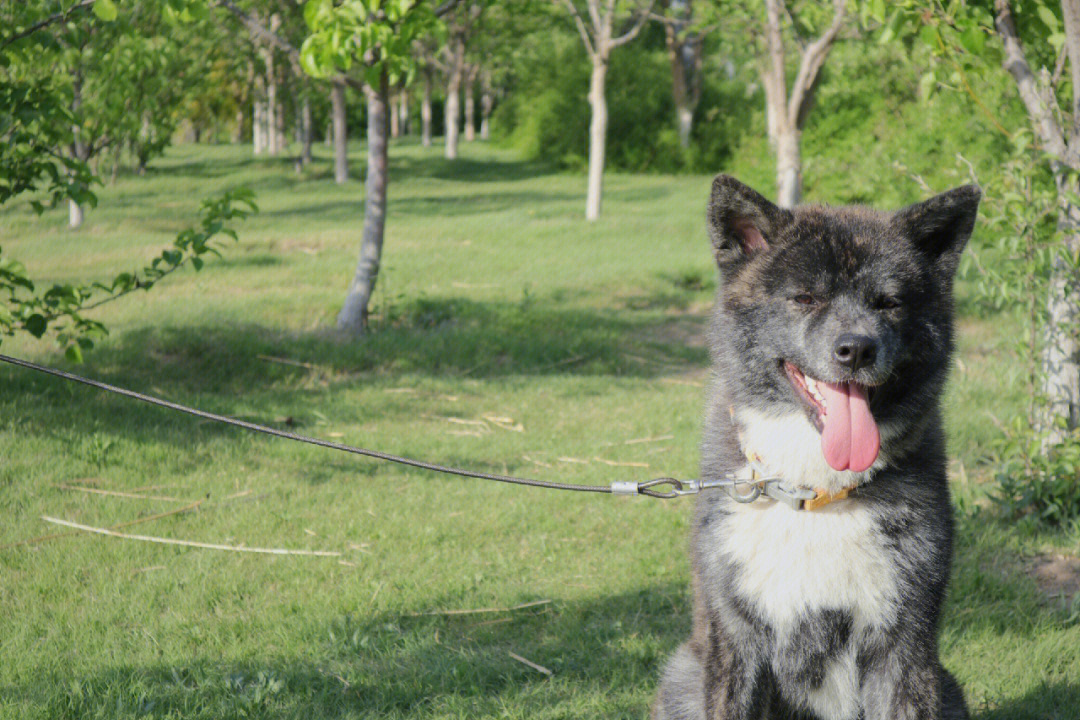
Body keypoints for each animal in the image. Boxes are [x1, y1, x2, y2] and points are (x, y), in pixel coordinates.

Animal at [652, 175, 984, 720]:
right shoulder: (736, 642)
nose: (857, 349)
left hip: (948, 687)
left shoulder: (903, 645)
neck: (812, 491)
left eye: (888, 302)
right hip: (683, 673)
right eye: (805, 297)